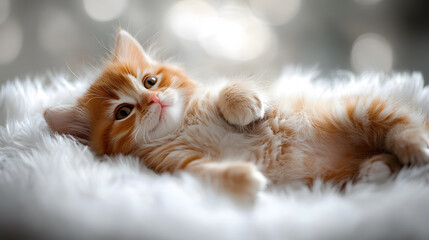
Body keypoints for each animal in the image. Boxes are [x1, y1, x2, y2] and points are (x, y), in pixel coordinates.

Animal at [44, 30, 428, 201]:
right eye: (123, 111)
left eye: (150, 80)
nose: (152, 98)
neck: (183, 126)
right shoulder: (171, 165)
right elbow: (206, 174)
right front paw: (244, 179)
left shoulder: (217, 95)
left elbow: (228, 89)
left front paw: (242, 104)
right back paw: (375, 169)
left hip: (355, 109)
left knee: (400, 122)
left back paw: (415, 147)